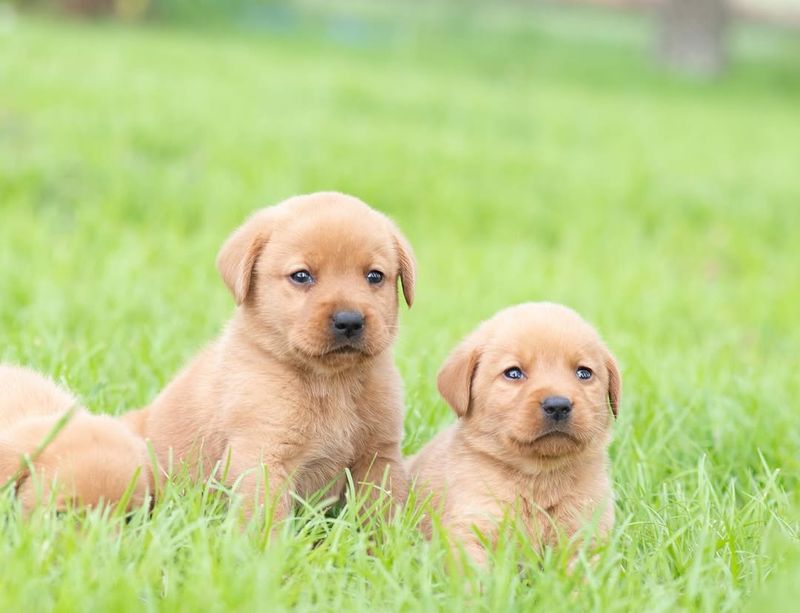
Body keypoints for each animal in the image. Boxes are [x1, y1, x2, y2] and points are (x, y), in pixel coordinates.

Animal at [123, 191, 418, 516]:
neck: (331, 383)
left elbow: (382, 512)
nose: (349, 321)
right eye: (301, 276)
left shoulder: (379, 456)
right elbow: (267, 517)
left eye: (375, 276)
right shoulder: (263, 455)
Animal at [410, 304, 620, 568]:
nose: (558, 405)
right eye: (513, 373)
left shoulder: (587, 531)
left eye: (584, 373)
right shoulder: (469, 526)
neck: (539, 477)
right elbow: (473, 569)